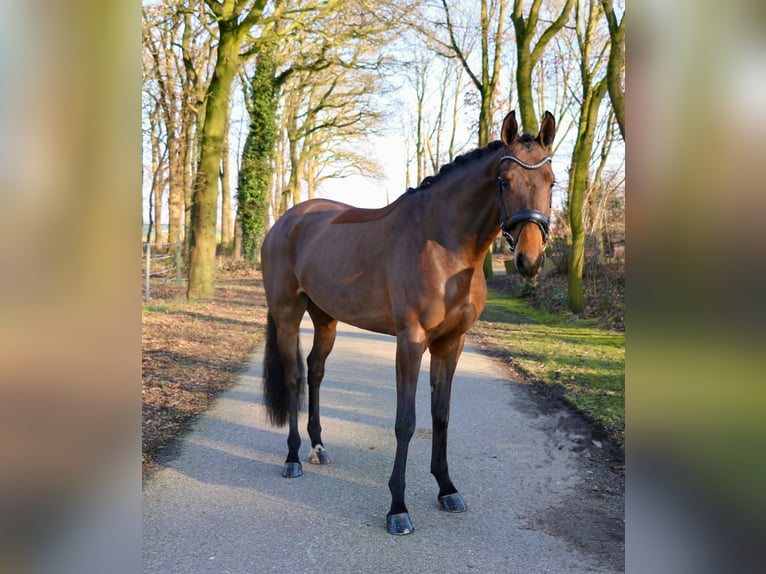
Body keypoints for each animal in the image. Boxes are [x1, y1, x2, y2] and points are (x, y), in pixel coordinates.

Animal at [260, 111, 556, 536]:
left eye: (551, 180)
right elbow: (406, 421)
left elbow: (441, 415)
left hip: (326, 317)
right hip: (287, 314)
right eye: (505, 181)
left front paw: (447, 488)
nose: (529, 261)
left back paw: (318, 447)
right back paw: (293, 458)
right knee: (294, 379)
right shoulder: (410, 341)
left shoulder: (451, 342)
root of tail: (285, 222)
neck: (443, 245)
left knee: (315, 371)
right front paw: (397, 508)